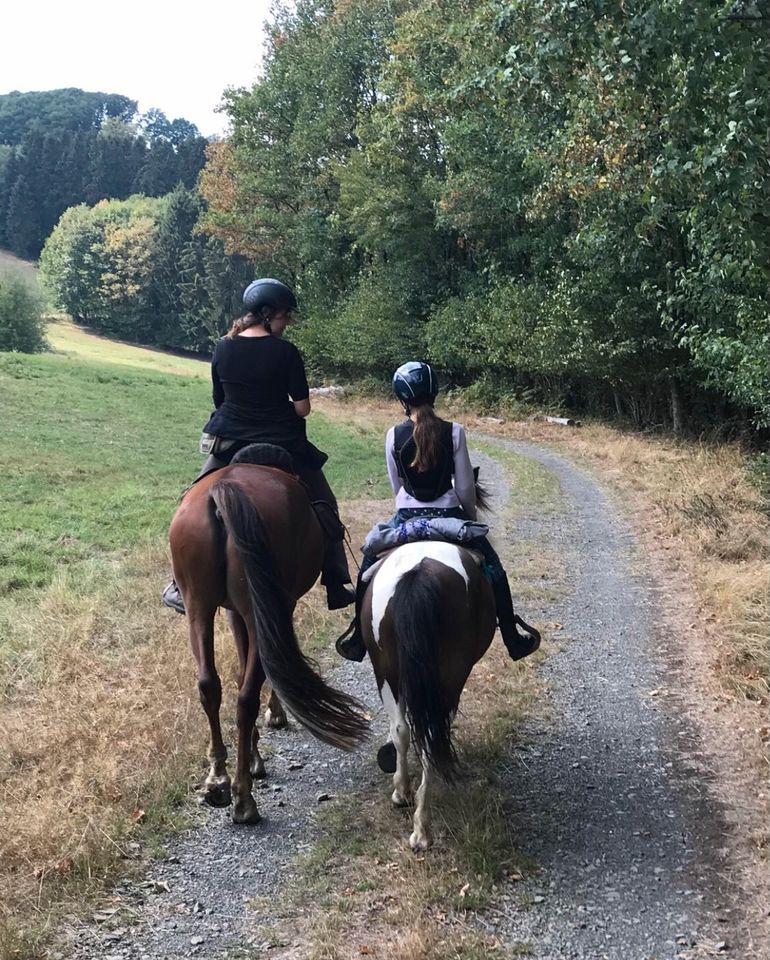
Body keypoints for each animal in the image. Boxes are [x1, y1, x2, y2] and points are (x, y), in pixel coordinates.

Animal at [170, 458, 368, 824]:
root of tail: (225, 489)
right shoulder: (277, 607)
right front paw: (274, 717)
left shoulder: (234, 611)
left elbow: (239, 672)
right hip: (258, 606)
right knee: (248, 695)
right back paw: (244, 800)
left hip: (198, 606)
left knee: (210, 685)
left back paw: (218, 778)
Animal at [358, 540, 496, 848]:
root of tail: (419, 571)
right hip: (450, 674)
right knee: (429, 736)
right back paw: (422, 825)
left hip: (386, 669)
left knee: (403, 730)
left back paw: (408, 803)